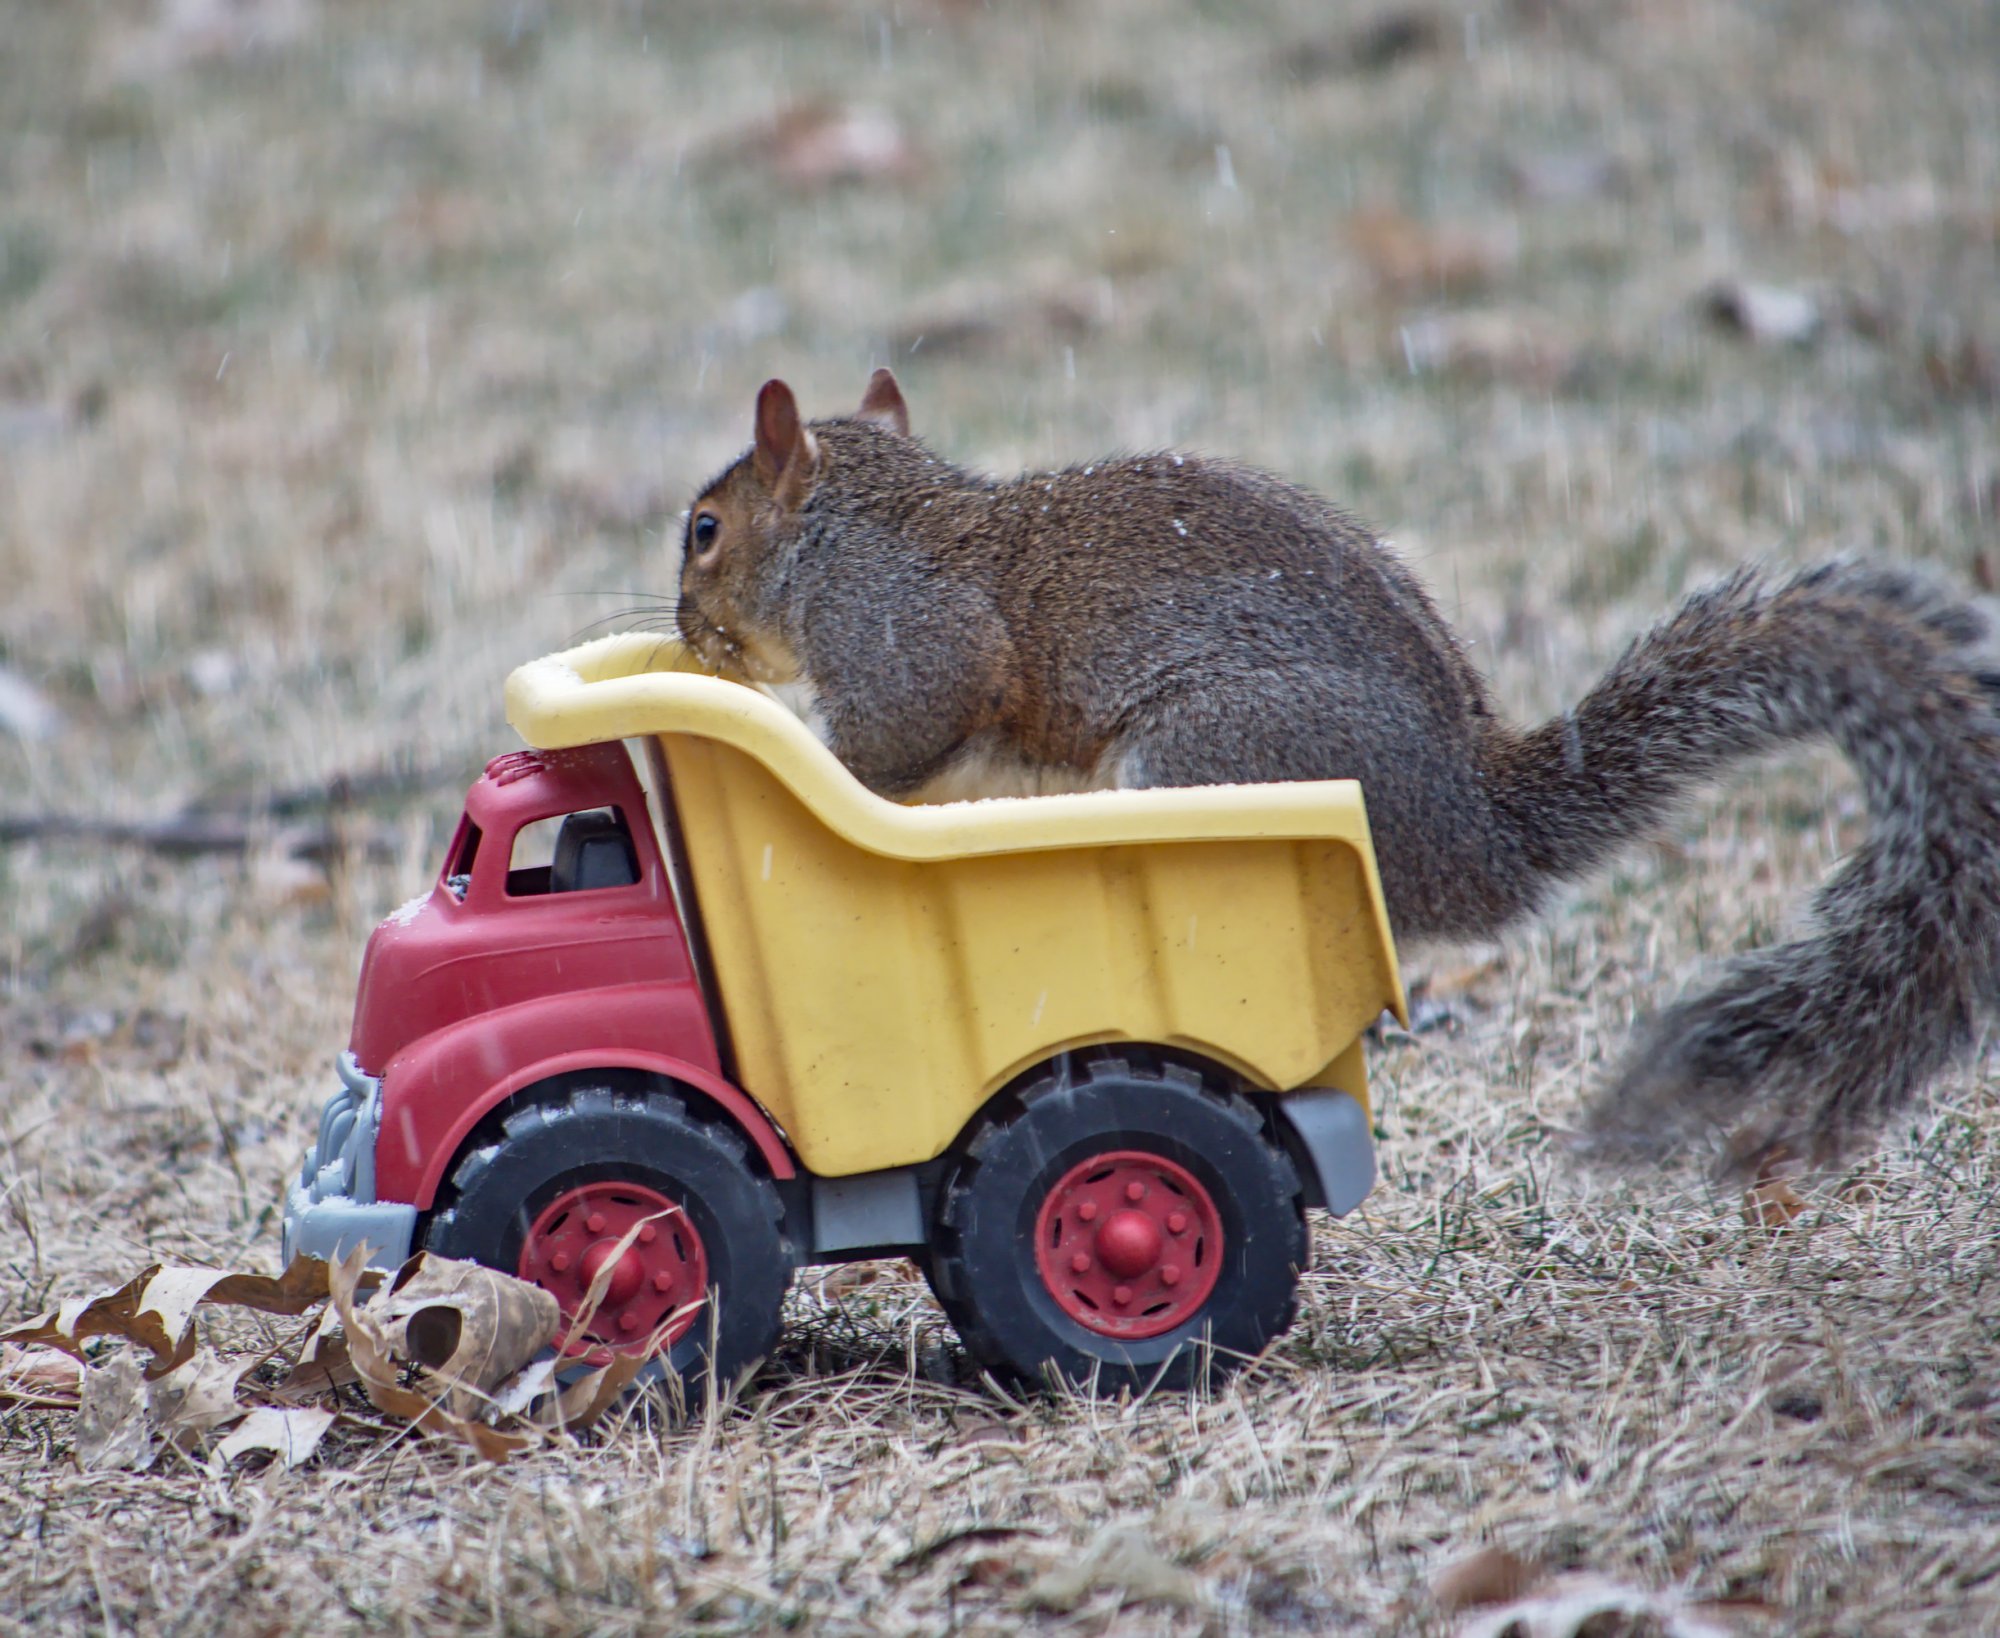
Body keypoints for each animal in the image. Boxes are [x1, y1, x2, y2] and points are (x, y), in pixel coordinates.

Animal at [672, 369, 2000, 1173]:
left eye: (704, 532)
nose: (686, 633)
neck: (860, 530)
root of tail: (1474, 831)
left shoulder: (913, 646)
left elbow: (886, 740)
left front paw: (782, 748)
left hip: (1212, 749)